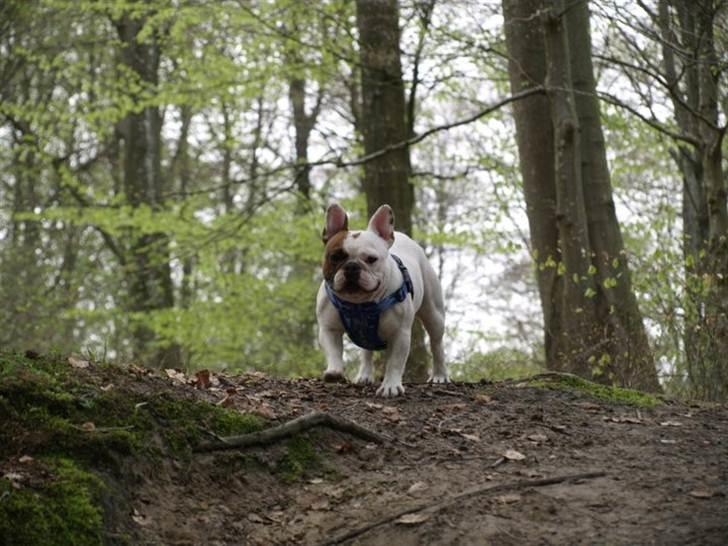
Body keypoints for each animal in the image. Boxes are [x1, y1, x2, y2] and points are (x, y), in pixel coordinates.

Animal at [314, 203, 446, 396]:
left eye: (371, 259)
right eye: (335, 257)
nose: (352, 267)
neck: (359, 304)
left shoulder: (400, 334)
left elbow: (395, 363)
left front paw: (391, 386)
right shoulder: (328, 329)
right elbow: (334, 351)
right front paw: (334, 371)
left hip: (433, 314)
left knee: (436, 345)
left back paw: (440, 375)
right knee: (366, 351)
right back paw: (364, 375)